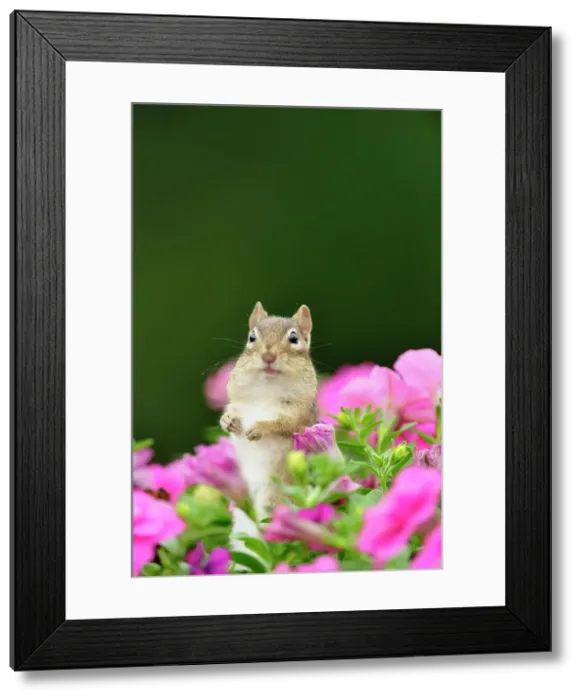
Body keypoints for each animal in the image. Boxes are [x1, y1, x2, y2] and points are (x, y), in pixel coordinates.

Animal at [220, 302, 318, 536]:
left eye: (294, 338)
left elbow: (283, 425)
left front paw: (260, 428)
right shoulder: (239, 402)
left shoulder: (300, 416)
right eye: (251, 337)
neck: (266, 390)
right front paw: (227, 420)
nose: (268, 356)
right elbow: (231, 412)